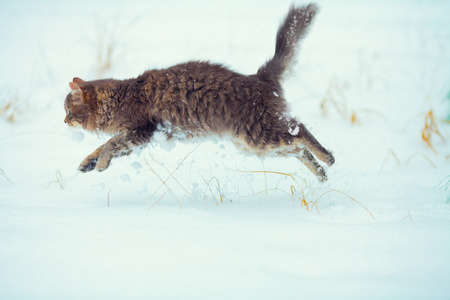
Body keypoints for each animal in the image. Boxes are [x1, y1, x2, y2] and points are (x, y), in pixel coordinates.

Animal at [66, 3, 334, 182]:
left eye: (68, 111)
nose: (64, 121)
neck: (122, 97)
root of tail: (257, 77)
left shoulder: (140, 131)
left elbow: (110, 144)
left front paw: (100, 163)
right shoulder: (137, 139)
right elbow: (103, 147)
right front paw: (88, 163)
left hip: (261, 132)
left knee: (300, 130)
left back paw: (327, 158)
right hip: (254, 142)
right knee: (298, 149)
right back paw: (321, 174)